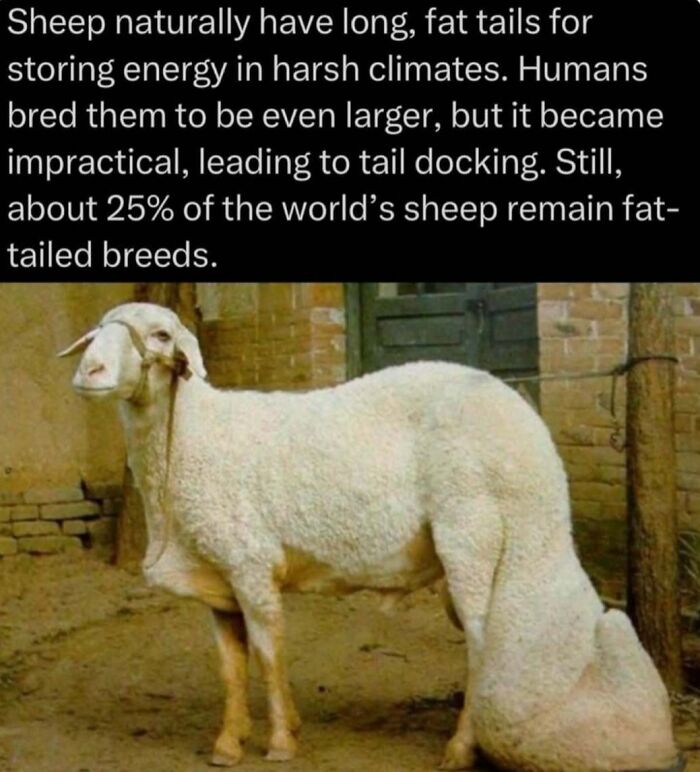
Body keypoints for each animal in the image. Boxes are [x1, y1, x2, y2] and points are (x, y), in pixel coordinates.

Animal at [59, 301, 680, 771]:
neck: (191, 438)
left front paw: (280, 741)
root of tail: (527, 425)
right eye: (95, 333)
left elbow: (268, 654)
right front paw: (229, 743)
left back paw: (461, 748)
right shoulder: (219, 577)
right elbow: (232, 668)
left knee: (482, 644)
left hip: (473, 531)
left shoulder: (251, 562)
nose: (89, 373)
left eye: (160, 333)